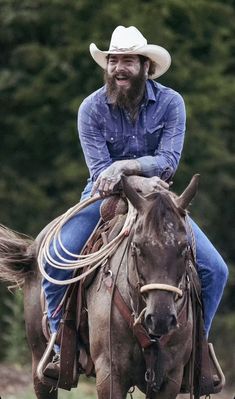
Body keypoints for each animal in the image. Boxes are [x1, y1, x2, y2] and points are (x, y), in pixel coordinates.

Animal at [0, 176, 199, 399]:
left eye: (184, 248)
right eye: (137, 247)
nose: (161, 317)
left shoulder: (170, 379)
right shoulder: (110, 374)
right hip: (38, 364)